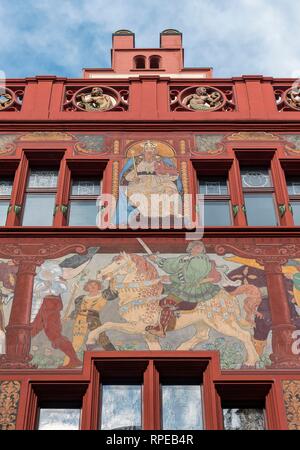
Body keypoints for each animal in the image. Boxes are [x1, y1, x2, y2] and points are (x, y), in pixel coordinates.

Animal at [87, 251, 262, 368]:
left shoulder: (138, 327)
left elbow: (108, 324)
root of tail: (229, 295)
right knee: (203, 336)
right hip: (202, 323)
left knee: (245, 335)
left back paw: (251, 362)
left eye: (118, 263)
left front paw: (90, 339)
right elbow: (155, 350)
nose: (100, 273)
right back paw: (181, 349)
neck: (142, 292)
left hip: (222, 323)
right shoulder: (147, 333)